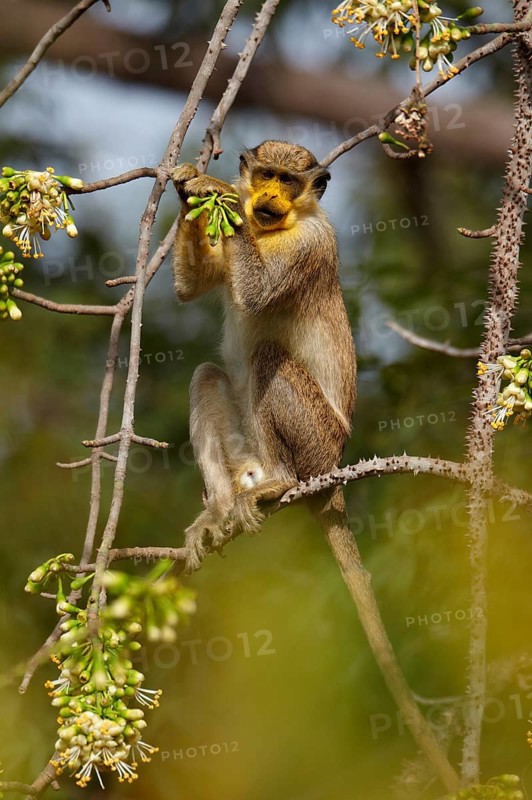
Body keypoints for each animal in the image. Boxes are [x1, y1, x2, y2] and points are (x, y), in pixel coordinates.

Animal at [172, 140, 356, 572]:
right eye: (266, 175)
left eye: (287, 181)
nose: (270, 195)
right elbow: (190, 288)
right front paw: (188, 186)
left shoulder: (312, 241)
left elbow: (256, 292)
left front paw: (218, 190)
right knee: (206, 375)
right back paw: (219, 512)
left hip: (317, 444)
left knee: (267, 356)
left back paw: (281, 482)